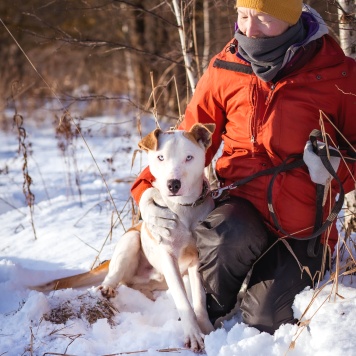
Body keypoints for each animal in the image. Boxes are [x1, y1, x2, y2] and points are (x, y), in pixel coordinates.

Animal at [34, 124, 216, 352]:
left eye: (189, 157)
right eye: (161, 157)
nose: (173, 184)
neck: (184, 209)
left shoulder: (196, 260)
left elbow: (199, 298)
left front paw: (206, 328)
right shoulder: (168, 256)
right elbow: (184, 301)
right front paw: (193, 334)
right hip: (130, 241)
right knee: (115, 276)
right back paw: (107, 288)